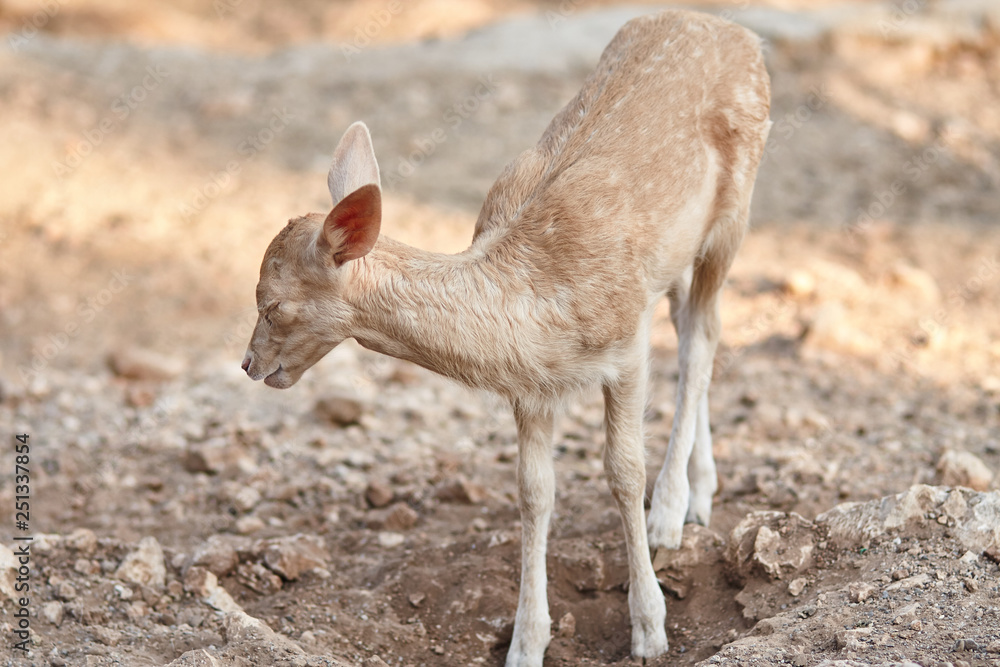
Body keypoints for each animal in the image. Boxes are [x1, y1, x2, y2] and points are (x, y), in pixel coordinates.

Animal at [241, 9, 770, 666]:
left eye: (273, 303)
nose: (249, 364)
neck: (533, 302)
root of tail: (735, 30)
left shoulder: (626, 343)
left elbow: (623, 471)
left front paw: (650, 630)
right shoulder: (531, 387)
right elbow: (534, 492)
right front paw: (524, 644)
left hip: (735, 213)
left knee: (704, 337)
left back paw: (672, 514)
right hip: (678, 257)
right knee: (688, 320)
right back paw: (701, 494)